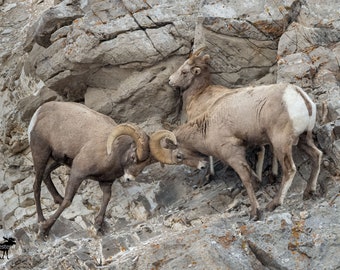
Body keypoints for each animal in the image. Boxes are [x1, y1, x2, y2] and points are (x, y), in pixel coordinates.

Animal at [28, 100, 151, 236]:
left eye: (144, 164)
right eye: (133, 157)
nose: (129, 178)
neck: (112, 152)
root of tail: (39, 111)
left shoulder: (106, 183)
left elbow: (106, 199)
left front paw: (97, 226)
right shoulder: (77, 173)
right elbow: (68, 201)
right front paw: (45, 229)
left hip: (56, 160)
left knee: (46, 175)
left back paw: (57, 200)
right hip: (41, 155)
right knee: (36, 186)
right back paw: (41, 220)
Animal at [150, 83, 322, 220]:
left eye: (179, 156)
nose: (202, 165)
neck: (208, 126)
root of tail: (297, 94)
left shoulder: (233, 155)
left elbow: (246, 179)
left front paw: (255, 213)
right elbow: (253, 175)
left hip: (281, 144)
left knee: (289, 170)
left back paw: (273, 204)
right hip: (303, 139)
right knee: (317, 155)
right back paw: (308, 192)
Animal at [170, 48, 278, 181]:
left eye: (184, 71)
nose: (170, 80)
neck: (198, 94)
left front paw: (209, 175)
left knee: (261, 150)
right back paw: (273, 176)